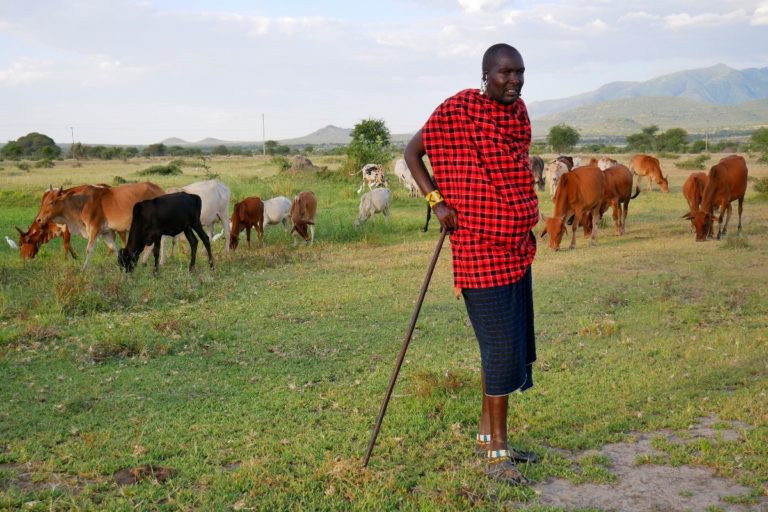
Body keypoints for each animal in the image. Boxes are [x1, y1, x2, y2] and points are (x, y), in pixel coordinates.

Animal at [35, 182, 164, 270]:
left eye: (51, 202)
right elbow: (113, 248)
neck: (81, 202)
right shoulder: (106, 232)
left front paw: (83, 270)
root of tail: (160, 190)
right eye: (43, 201)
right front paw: (122, 266)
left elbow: (89, 249)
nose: (38, 219)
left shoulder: (94, 229)